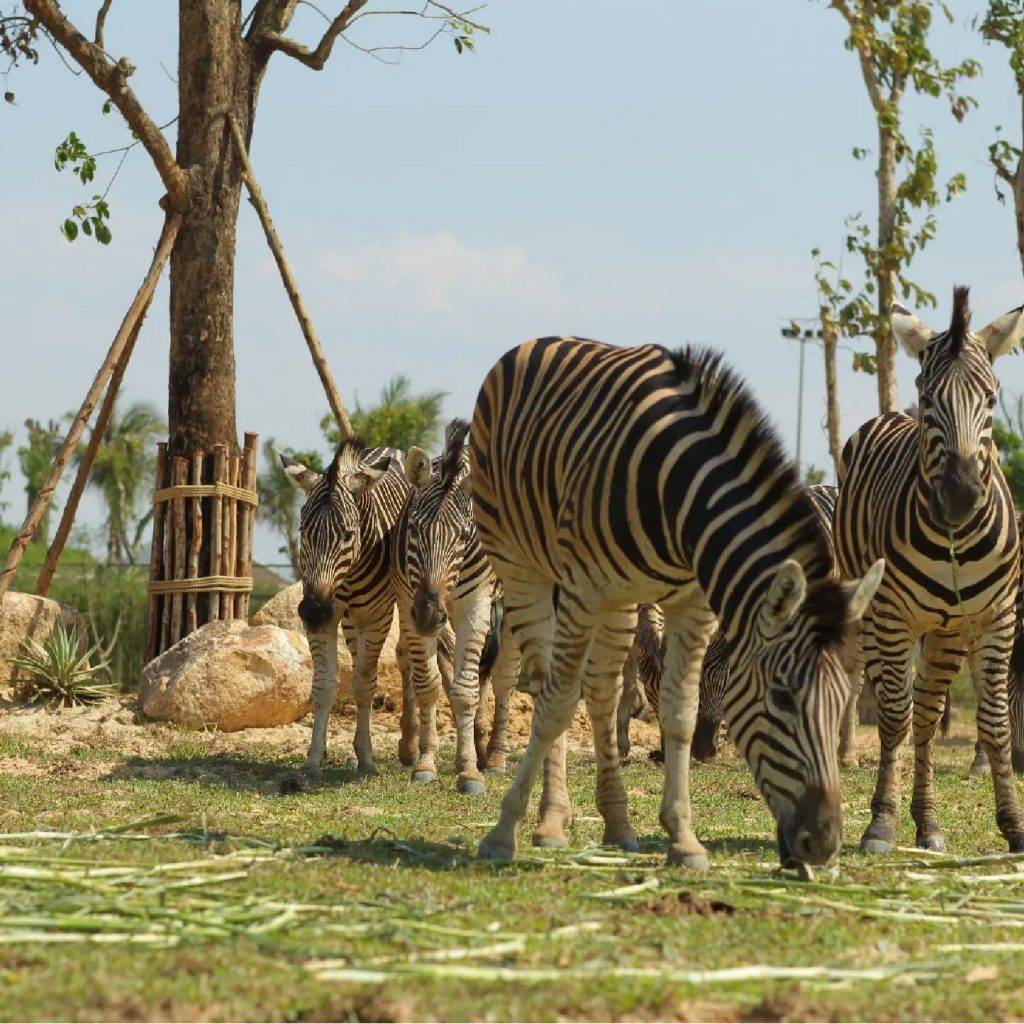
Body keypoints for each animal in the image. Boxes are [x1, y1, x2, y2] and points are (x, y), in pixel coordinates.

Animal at [280, 436, 415, 778]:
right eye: (303, 532)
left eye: (348, 535)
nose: (314, 610)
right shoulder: (327, 617)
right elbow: (324, 685)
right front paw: (314, 759)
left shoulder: (378, 617)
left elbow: (365, 684)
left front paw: (366, 758)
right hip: (352, 622)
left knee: (406, 658)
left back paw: (410, 748)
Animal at [391, 415, 503, 790]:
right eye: (413, 528)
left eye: (465, 536)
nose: (428, 614)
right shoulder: (407, 600)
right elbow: (429, 685)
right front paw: (426, 762)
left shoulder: (477, 602)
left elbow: (465, 689)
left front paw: (468, 769)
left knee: (502, 675)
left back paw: (494, 756)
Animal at [468, 339, 880, 868]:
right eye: (783, 697)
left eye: (841, 700)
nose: (824, 843)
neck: (680, 495)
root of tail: (539, 342)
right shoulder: (583, 591)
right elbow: (558, 705)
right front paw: (502, 833)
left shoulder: (693, 604)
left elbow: (679, 712)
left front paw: (684, 840)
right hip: (522, 565)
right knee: (547, 685)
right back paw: (551, 820)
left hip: (620, 601)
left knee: (601, 692)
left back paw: (615, 824)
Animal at [831, 288, 1024, 856]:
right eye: (929, 395)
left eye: (990, 398)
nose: (959, 496)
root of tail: (889, 414)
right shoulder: (894, 617)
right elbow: (894, 717)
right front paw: (881, 824)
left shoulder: (995, 619)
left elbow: (994, 722)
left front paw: (1013, 825)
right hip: (874, 617)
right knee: (894, 704)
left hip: (947, 632)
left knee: (929, 707)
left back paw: (929, 823)